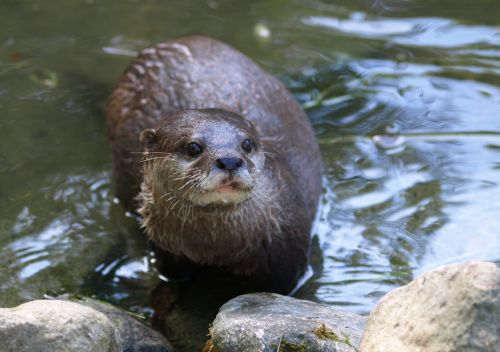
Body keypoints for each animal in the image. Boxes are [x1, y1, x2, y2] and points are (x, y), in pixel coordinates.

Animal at [107, 35, 322, 294]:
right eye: (193, 147)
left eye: (247, 143)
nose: (229, 160)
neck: (213, 248)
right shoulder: (168, 254)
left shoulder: (286, 261)